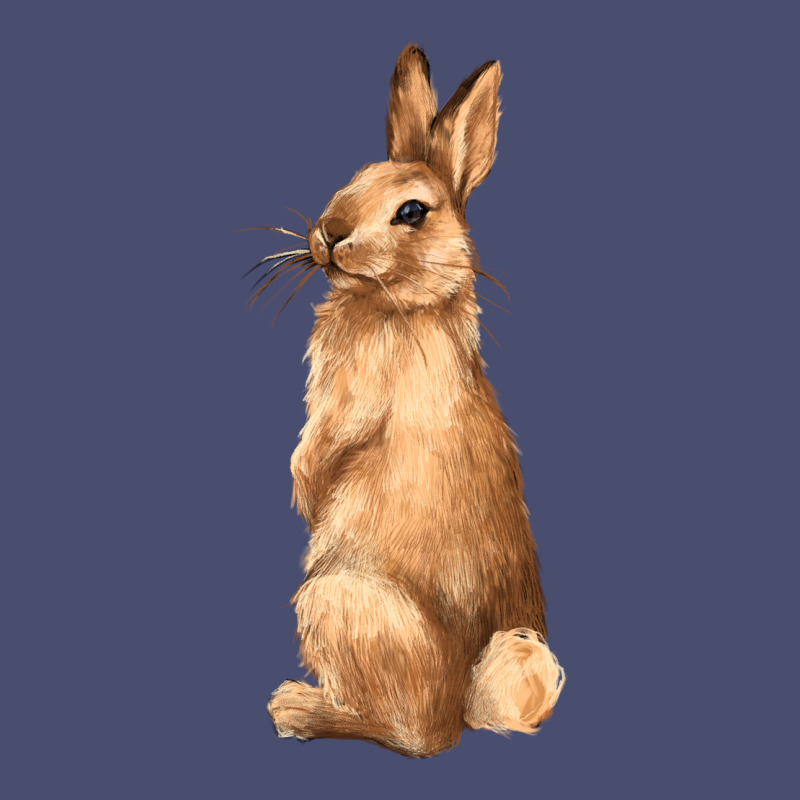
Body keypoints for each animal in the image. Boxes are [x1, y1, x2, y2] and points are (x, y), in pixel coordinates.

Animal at [264, 44, 564, 758]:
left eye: (411, 212)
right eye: (353, 177)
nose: (329, 233)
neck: (401, 303)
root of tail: (468, 700)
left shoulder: (350, 400)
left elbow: (318, 454)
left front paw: (305, 496)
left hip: (335, 601)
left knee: (417, 736)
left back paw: (297, 709)